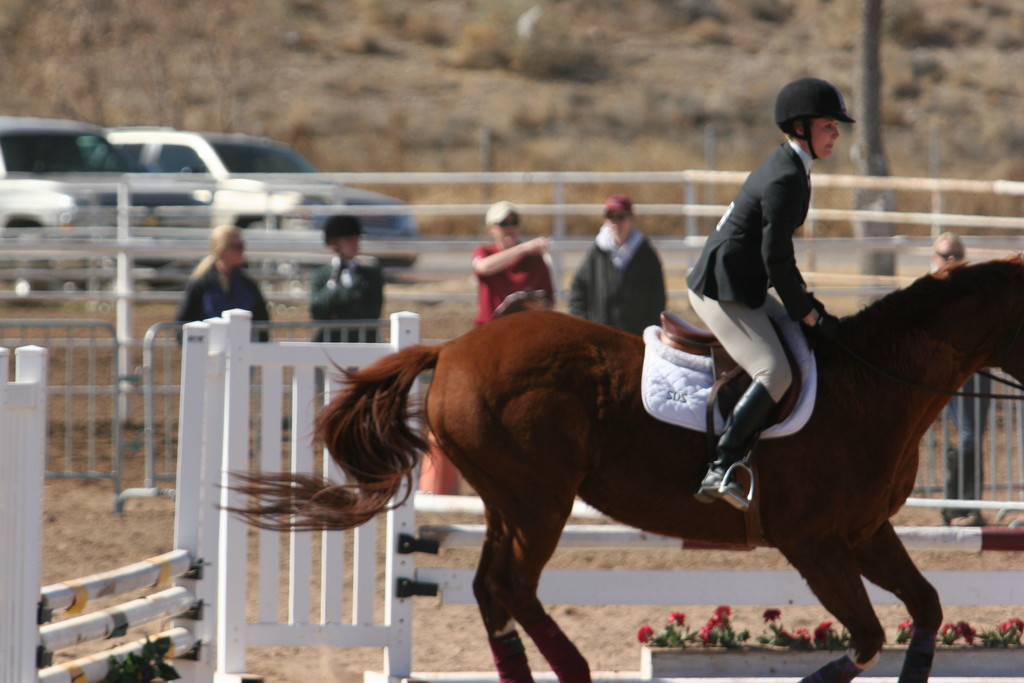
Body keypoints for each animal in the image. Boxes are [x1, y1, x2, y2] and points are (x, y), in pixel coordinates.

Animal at [230, 258, 1024, 683]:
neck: (875, 383)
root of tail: (451, 347)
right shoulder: (816, 544)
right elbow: (863, 637)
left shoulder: (864, 533)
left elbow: (925, 609)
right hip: (539, 503)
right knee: (512, 586)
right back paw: (576, 671)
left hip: (510, 503)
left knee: (492, 588)